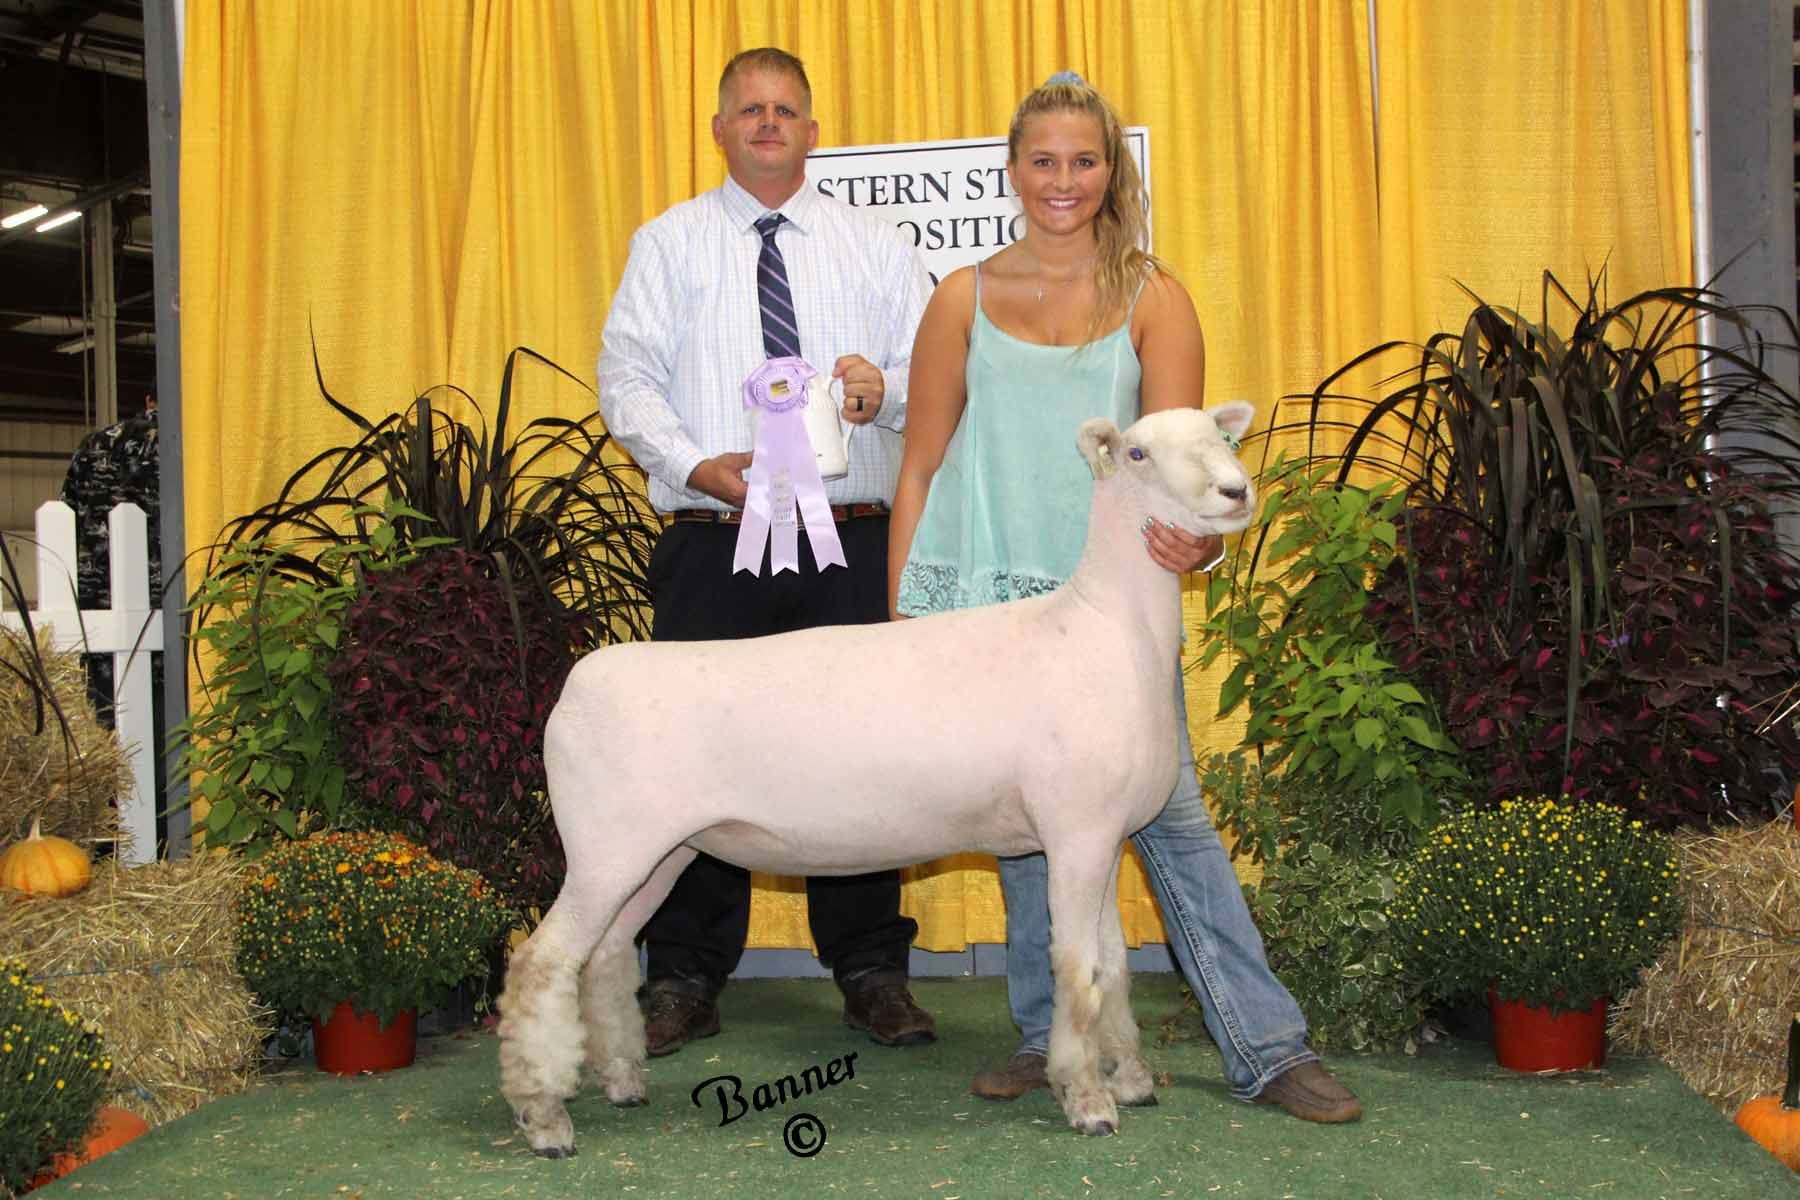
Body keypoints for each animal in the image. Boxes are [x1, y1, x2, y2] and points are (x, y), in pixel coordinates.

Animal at [498, 402, 1257, 1155]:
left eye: (1222, 438)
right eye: (1137, 455)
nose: (1236, 492)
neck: (1107, 628)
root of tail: (577, 684)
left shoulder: (1106, 837)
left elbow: (1113, 968)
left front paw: (1130, 1079)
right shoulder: (1077, 832)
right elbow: (1077, 971)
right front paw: (1090, 1103)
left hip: (660, 852)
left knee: (605, 956)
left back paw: (622, 1080)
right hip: (607, 846)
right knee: (542, 963)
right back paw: (545, 1119)